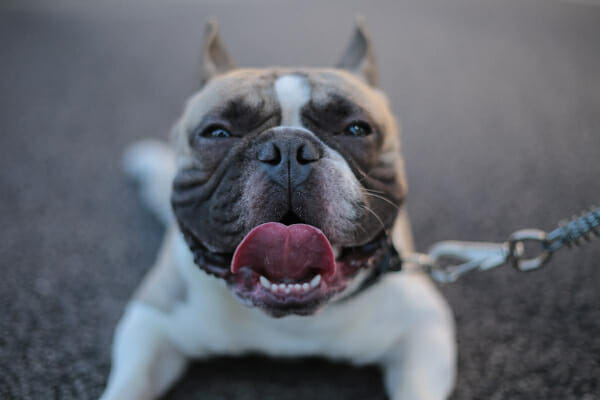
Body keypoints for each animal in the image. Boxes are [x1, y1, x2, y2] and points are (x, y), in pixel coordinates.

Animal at [102, 19, 454, 400]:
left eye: (357, 129)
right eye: (217, 132)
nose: (288, 148)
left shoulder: (424, 327)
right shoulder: (154, 319)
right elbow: (129, 383)